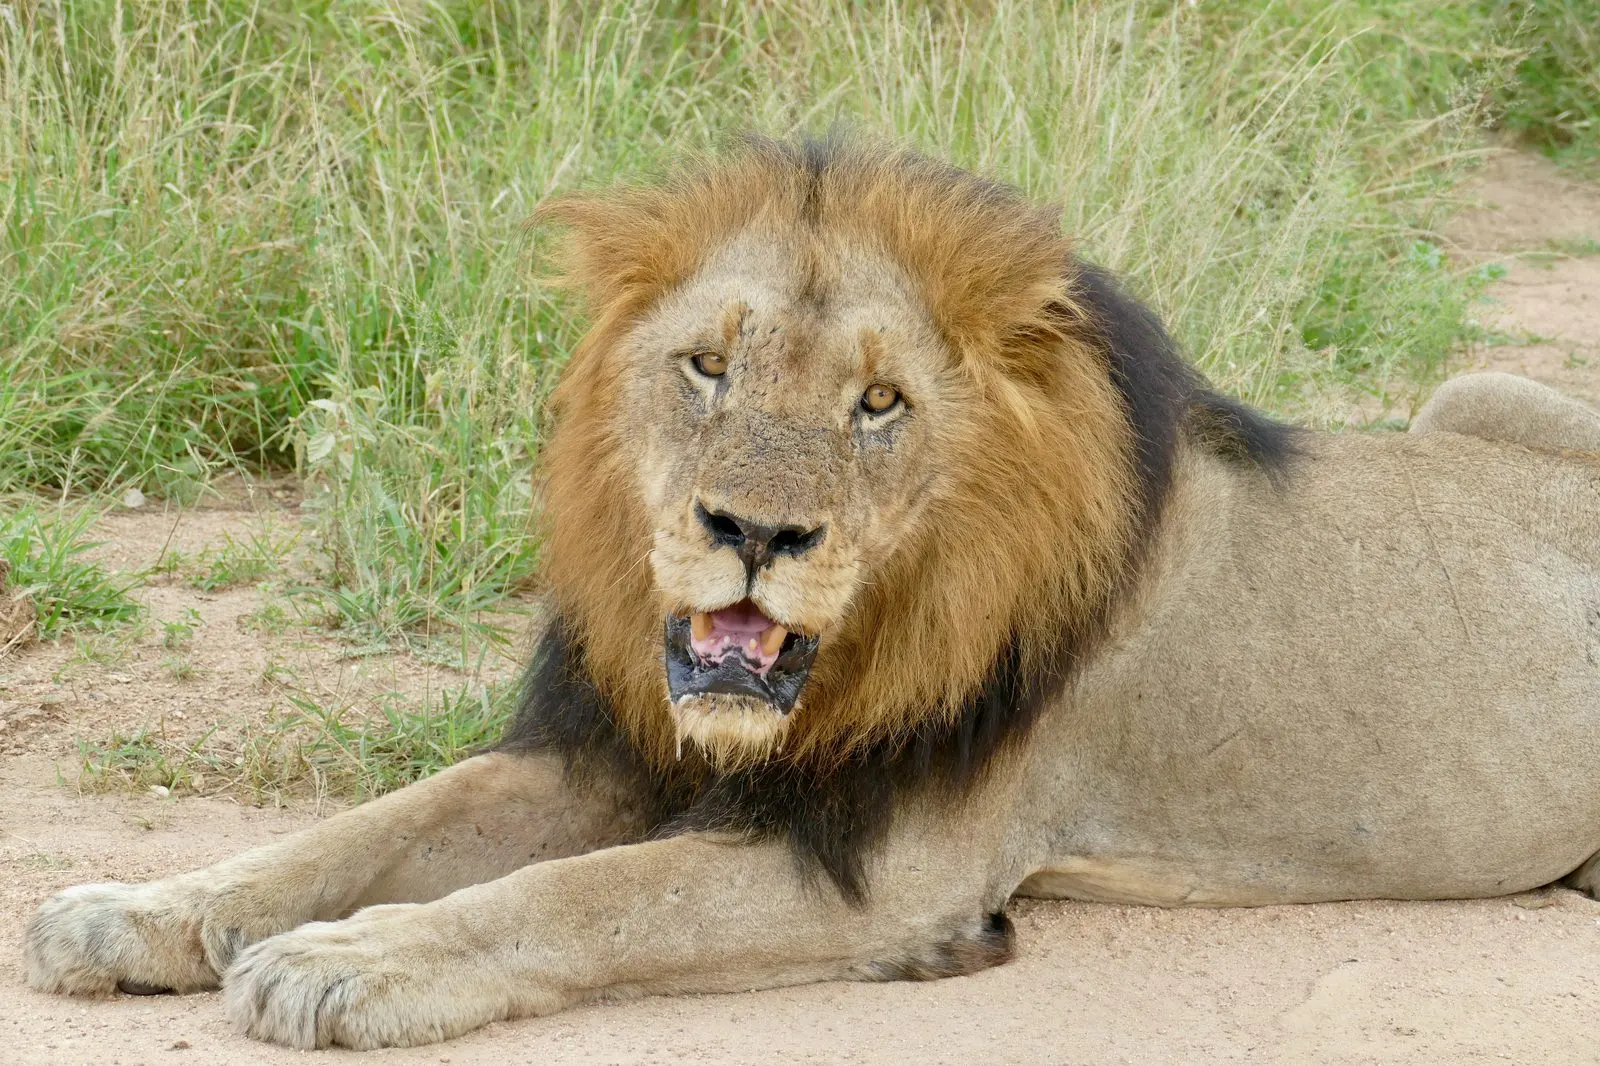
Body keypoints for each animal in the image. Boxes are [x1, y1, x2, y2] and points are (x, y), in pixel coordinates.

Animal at [23, 136, 1600, 1050]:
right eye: (707, 367)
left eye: (878, 403)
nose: (754, 529)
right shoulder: (615, 744)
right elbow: (373, 824)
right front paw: (131, 911)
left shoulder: (888, 859)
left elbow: (582, 895)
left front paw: (350, 961)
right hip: (1476, 387)